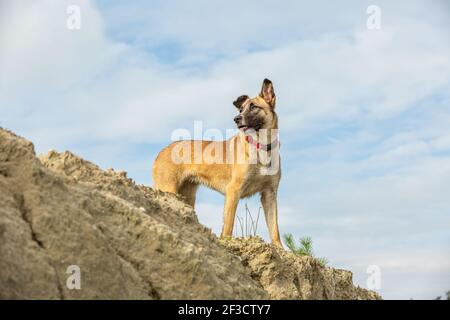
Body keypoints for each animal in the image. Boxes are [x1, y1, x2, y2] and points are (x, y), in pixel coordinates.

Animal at [153, 79, 284, 246]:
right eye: (241, 109)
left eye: (253, 106)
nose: (236, 119)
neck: (261, 146)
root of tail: (162, 151)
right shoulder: (233, 190)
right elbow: (228, 225)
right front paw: (227, 243)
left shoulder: (269, 194)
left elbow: (274, 228)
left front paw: (281, 249)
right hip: (168, 189)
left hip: (187, 197)